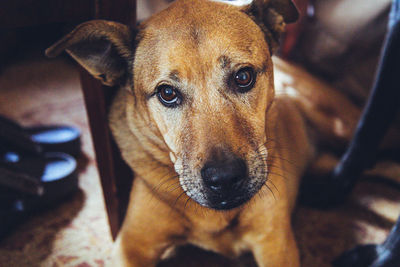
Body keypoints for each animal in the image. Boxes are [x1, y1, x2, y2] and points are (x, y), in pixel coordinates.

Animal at [46, 1, 360, 266]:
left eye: (243, 77)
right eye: (167, 93)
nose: (225, 179)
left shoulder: (276, 244)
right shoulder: (131, 244)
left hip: (334, 122)